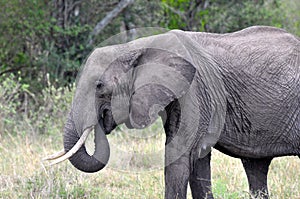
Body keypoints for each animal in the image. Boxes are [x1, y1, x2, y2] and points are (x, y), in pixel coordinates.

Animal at [44, 25, 300, 198]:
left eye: (99, 86)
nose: (101, 120)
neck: (138, 46)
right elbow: (198, 157)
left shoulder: (194, 90)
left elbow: (178, 152)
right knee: (256, 167)